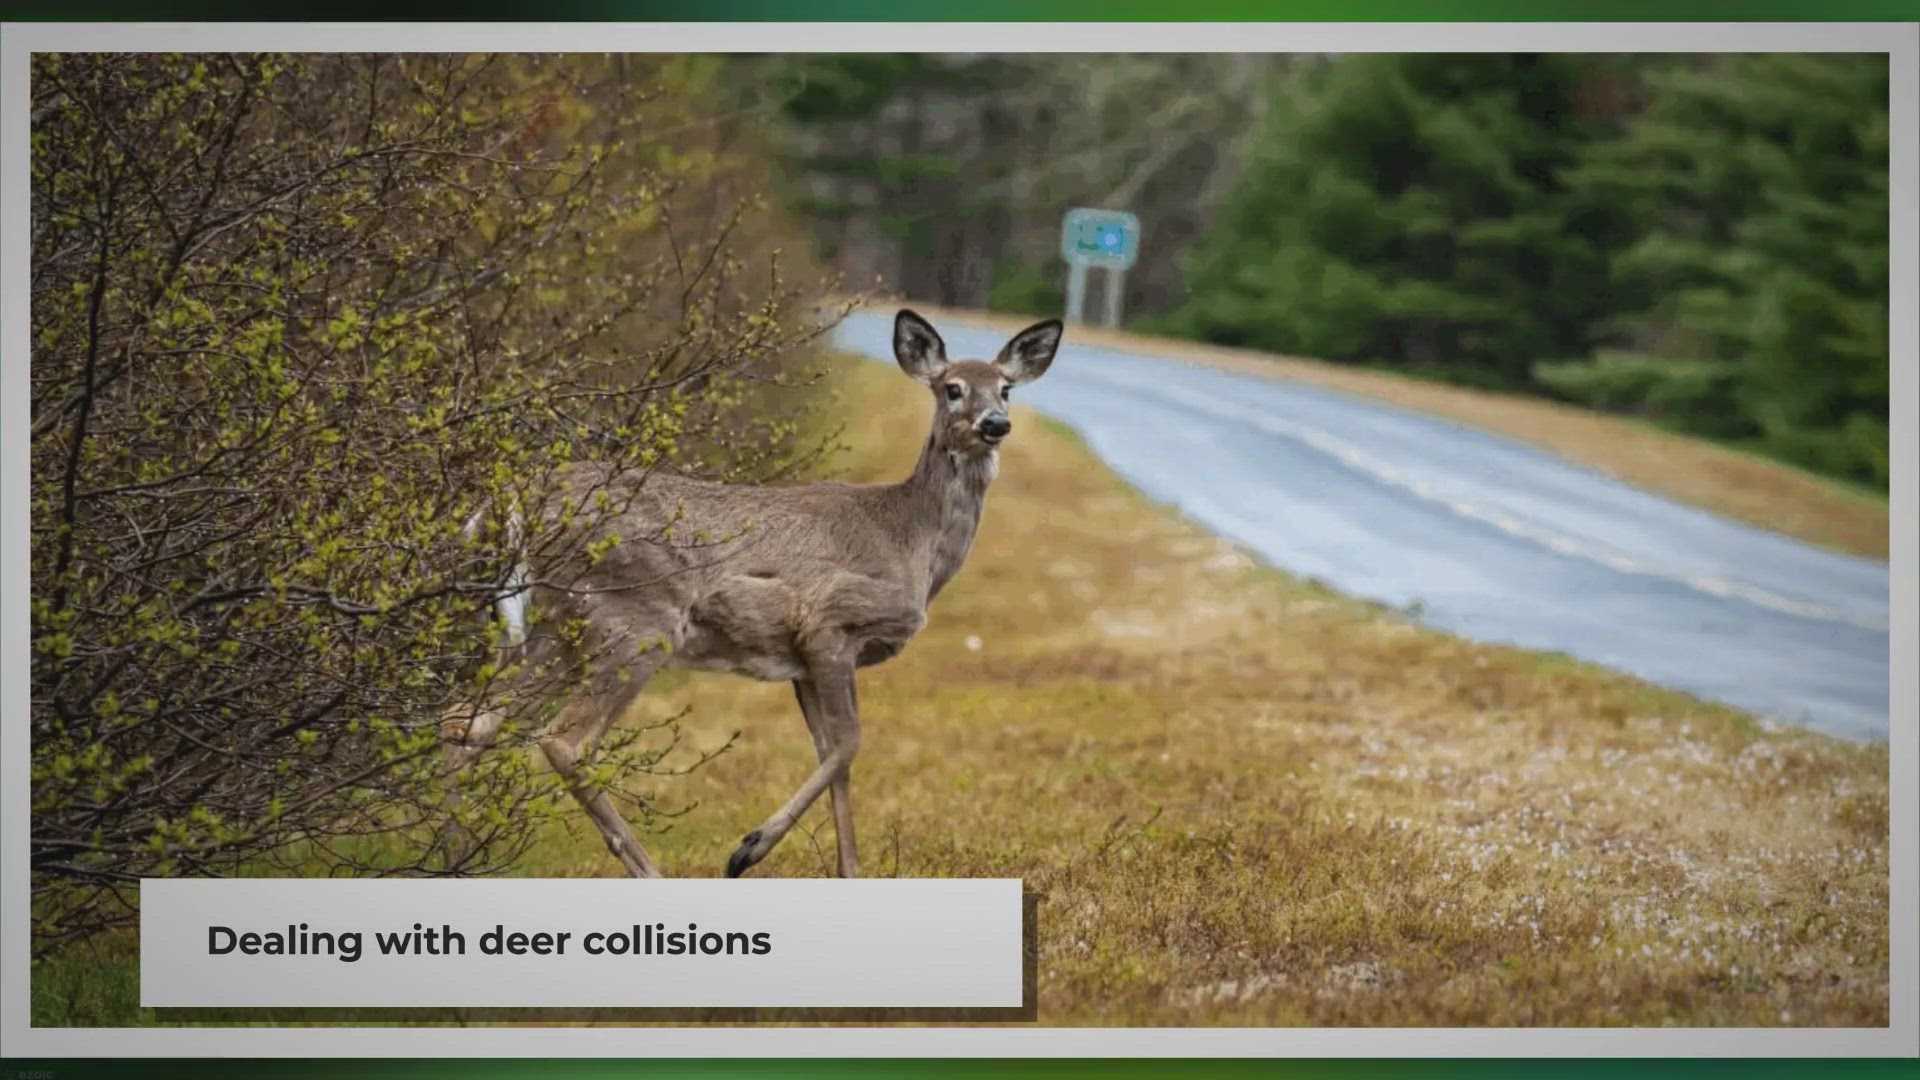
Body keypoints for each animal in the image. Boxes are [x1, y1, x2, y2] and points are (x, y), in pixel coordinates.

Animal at [441, 309, 1064, 880]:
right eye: (952, 387)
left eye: (1005, 387)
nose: (995, 423)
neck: (911, 539)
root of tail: (517, 497)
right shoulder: (830, 623)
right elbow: (849, 743)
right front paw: (748, 849)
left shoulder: (803, 661)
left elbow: (833, 754)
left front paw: (848, 873)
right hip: (634, 620)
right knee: (564, 740)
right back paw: (648, 870)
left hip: (554, 628)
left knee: (469, 721)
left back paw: (453, 858)